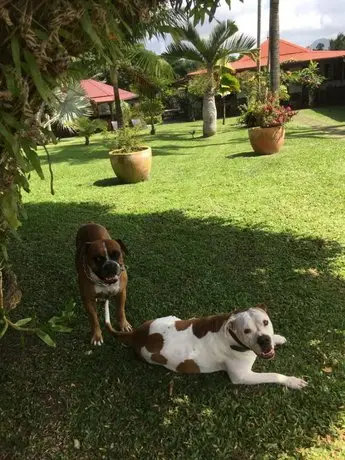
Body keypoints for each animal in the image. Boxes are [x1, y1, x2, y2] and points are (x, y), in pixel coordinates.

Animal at [111, 306, 308, 388]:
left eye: (265, 322)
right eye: (246, 330)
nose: (264, 340)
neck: (230, 334)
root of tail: (137, 334)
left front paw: (277, 338)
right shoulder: (243, 377)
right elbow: (273, 375)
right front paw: (292, 381)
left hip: (169, 318)